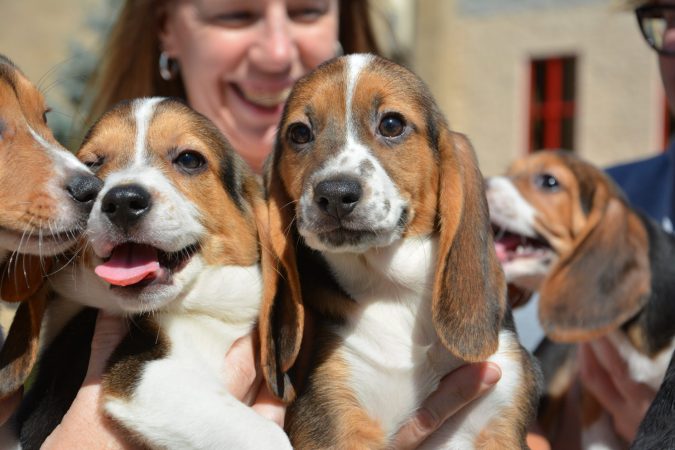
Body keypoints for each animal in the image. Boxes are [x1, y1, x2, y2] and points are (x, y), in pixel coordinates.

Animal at [9, 98, 290, 450]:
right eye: (92, 165)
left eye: (189, 159)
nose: (122, 201)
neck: (201, 309)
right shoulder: (145, 377)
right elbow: (267, 433)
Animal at [262, 54, 540, 448]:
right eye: (299, 133)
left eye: (392, 124)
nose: (334, 193)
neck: (394, 288)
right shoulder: (334, 420)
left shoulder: (500, 420)